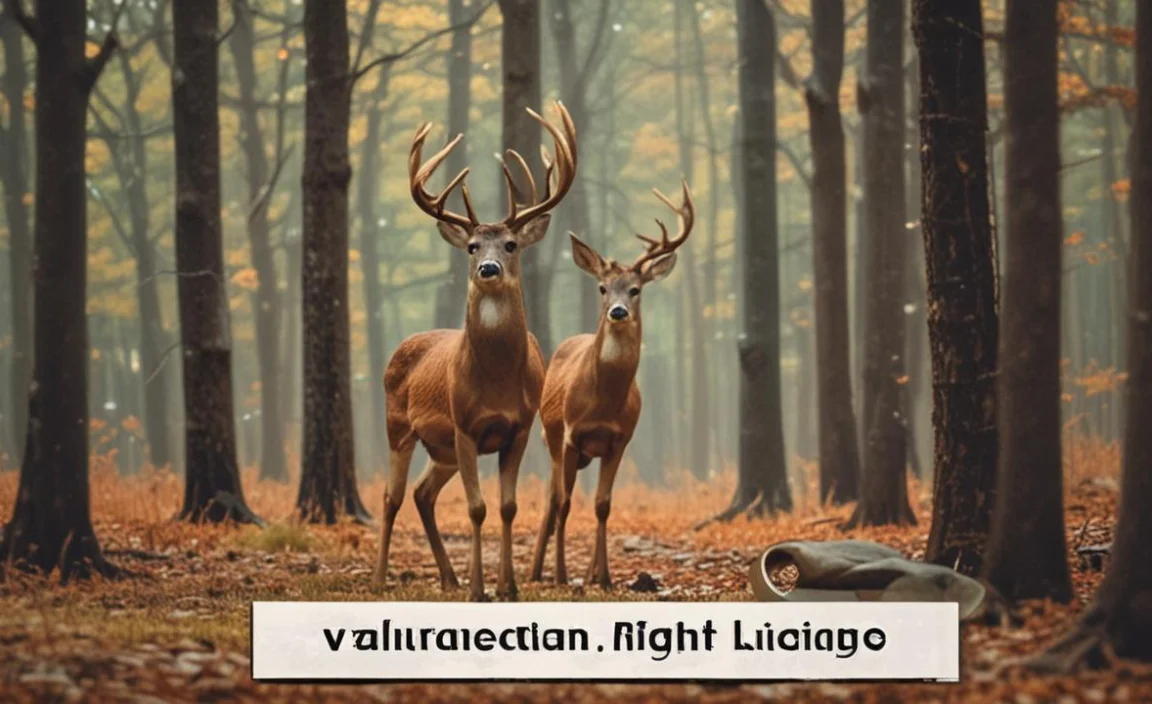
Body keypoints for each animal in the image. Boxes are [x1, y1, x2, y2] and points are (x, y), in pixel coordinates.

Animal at [373, 102, 578, 601]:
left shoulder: (519, 427)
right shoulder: (464, 425)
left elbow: (506, 506)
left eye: (510, 243)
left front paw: (508, 587)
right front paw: (479, 589)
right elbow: (476, 509)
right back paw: (381, 576)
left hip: (440, 449)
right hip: (398, 426)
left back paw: (447, 577)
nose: (488, 267)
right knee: (391, 497)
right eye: (470, 246)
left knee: (422, 494)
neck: (498, 379)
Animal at [529, 180, 694, 589]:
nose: (618, 311)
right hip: (550, 439)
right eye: (602, 288)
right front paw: (562, 575)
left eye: (636, 289)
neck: (602, 402)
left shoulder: (620, 441)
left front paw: (602, 577)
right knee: (552, 501)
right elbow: (566, 504)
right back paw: (538, 571)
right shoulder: (570, 436)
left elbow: (603, 506)